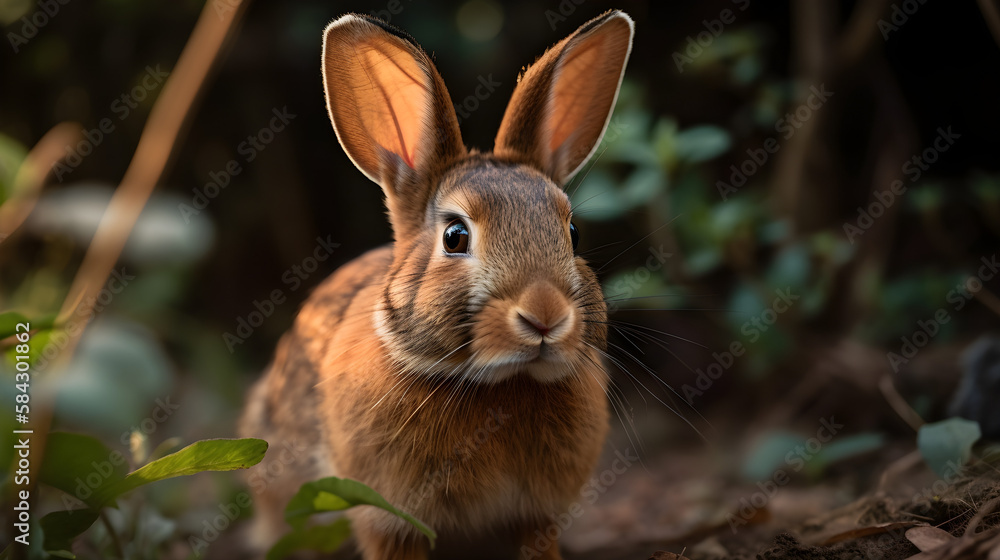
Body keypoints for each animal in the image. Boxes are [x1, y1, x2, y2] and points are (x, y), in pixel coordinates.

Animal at [239, 9, 634, 560]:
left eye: (572, 232)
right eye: (455, 236)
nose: (545, 315)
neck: (498, 384)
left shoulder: (537, 515)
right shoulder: (388, 516)